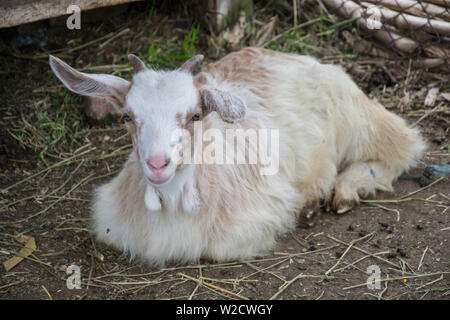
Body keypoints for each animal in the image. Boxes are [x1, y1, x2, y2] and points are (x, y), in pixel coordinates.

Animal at [49, 47, 426, 266]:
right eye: (127, 116)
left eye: (195, 115)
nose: (157, 164)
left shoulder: (260, 214)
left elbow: (214, 249)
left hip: (358, 118)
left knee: (404, 146)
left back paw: (346, 189)